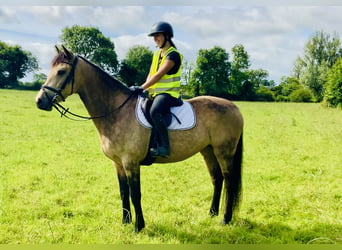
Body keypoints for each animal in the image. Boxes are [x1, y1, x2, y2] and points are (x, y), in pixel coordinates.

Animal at [35, 45, 243, 232]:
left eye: (61, 71)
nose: (39, 101)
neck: (116, 111)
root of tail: (233, 107)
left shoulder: (131, 163)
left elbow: (135, 194)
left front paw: (138, 226)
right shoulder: (118, 164)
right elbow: (123, 192)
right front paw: (125, 221)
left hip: (224, 152)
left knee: (229, 181)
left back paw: (226, 218)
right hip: (207, 150)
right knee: (217, 179)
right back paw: (212, 213)